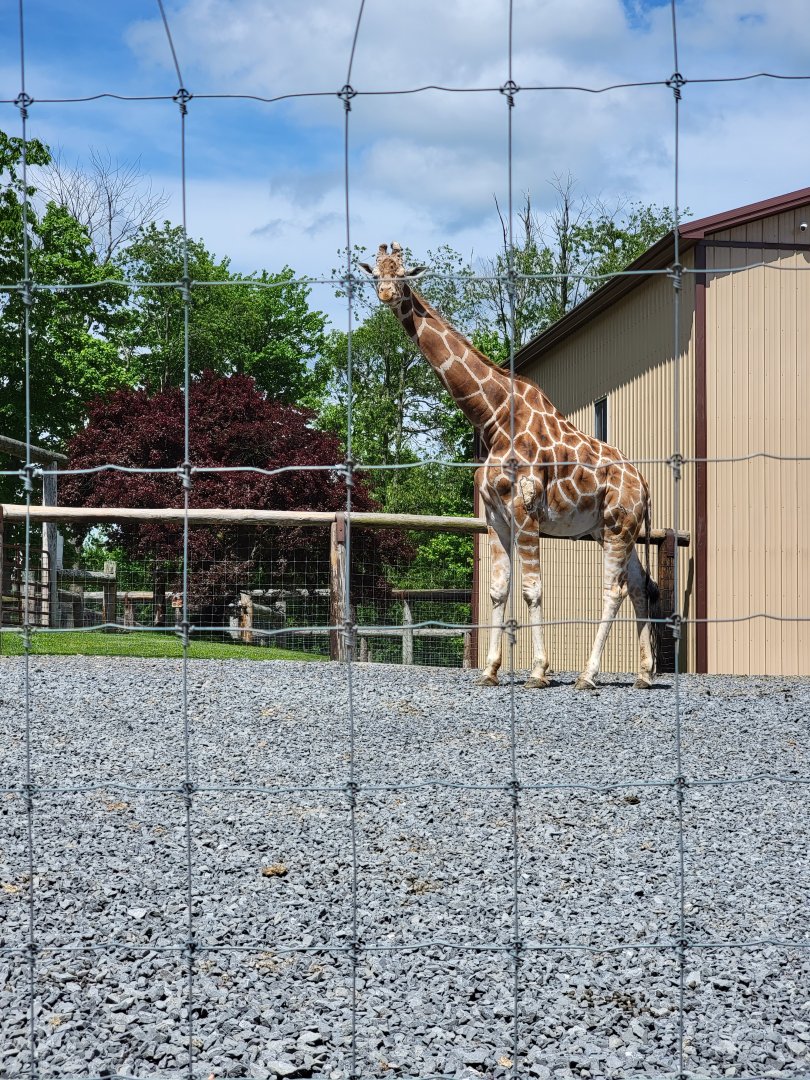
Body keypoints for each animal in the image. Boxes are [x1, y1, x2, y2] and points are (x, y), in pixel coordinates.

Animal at [359, 242, 661, 690]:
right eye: (376, 273)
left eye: (403, 273)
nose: (386, 295)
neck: (493, 416)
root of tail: (642, 481)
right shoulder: (495, 516)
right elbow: (498, 590)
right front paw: (489, 670)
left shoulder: (525, 511)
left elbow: (532, 589)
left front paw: (539, 671)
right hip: (609, 529)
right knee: (641, 585)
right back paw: (644, 673)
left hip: (619, 526)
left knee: (614, 590)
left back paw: (587, 676)